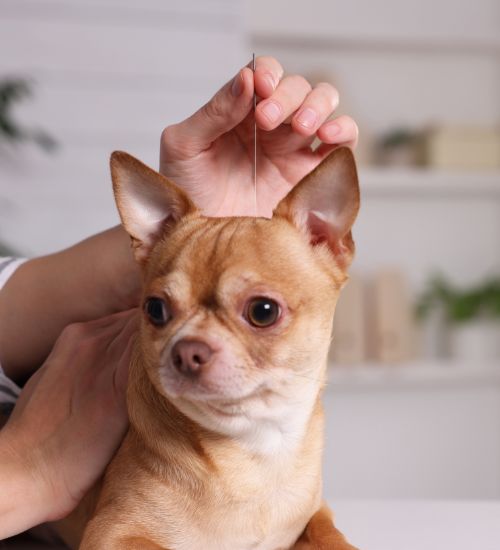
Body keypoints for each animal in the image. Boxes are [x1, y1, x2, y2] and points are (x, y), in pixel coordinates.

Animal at [76, 147, 360, 550]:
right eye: (155, 310)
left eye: (263, 311)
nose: (186, 351)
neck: (255, 447)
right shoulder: (111, 532)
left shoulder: (317, 512)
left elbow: (330, 535)